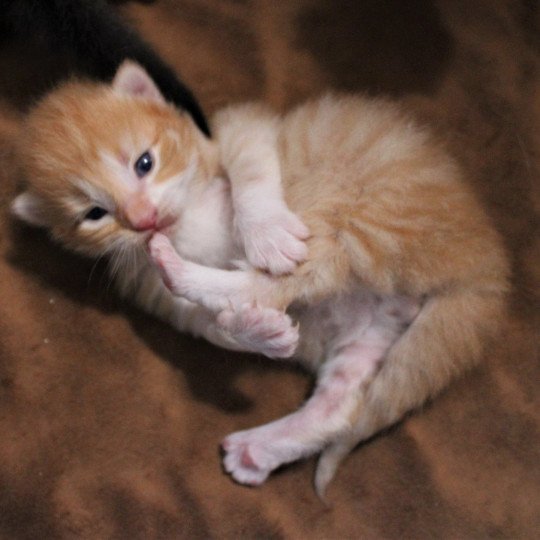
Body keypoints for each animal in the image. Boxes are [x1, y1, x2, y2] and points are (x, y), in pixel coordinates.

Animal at [11, 61, 510, 496]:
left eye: (144, 163)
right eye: (94, 214)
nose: (144, 220)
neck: (188, 213)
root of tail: (483, 267)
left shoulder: (239, 126)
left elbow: (251, 165)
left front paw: (266, 230)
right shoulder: (150, 288)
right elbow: (213, 327)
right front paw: (256, 332)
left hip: (364, 207)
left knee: (302, 270)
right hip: (376, 324)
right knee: (341, 404)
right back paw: (260, 445)